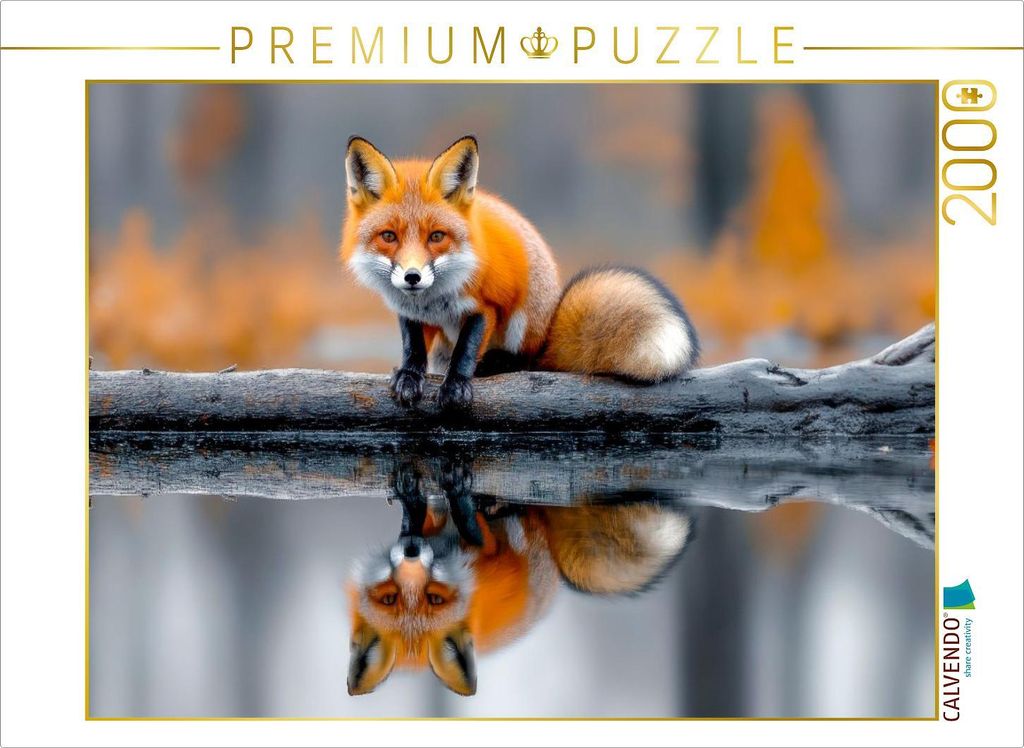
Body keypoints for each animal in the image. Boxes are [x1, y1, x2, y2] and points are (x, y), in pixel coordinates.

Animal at [340, 134, 700, 409]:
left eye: (437, 237)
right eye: (389, 237)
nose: (412, 277)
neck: (431, 301)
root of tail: (547, 333)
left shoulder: (485, 306)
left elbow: (465, 352)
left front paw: (456, 386)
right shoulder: (410, 312)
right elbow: (413, 349)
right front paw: (409, 376)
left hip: (523, 319)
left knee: (527, 363)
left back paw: (498, 364)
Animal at [347, 460, 693, 696]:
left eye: (433, 598)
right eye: (390, 598)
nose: (412, 551)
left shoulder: (489, 549)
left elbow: (465, 522)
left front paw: (449, 489)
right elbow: (428, 516)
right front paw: (415, 495)